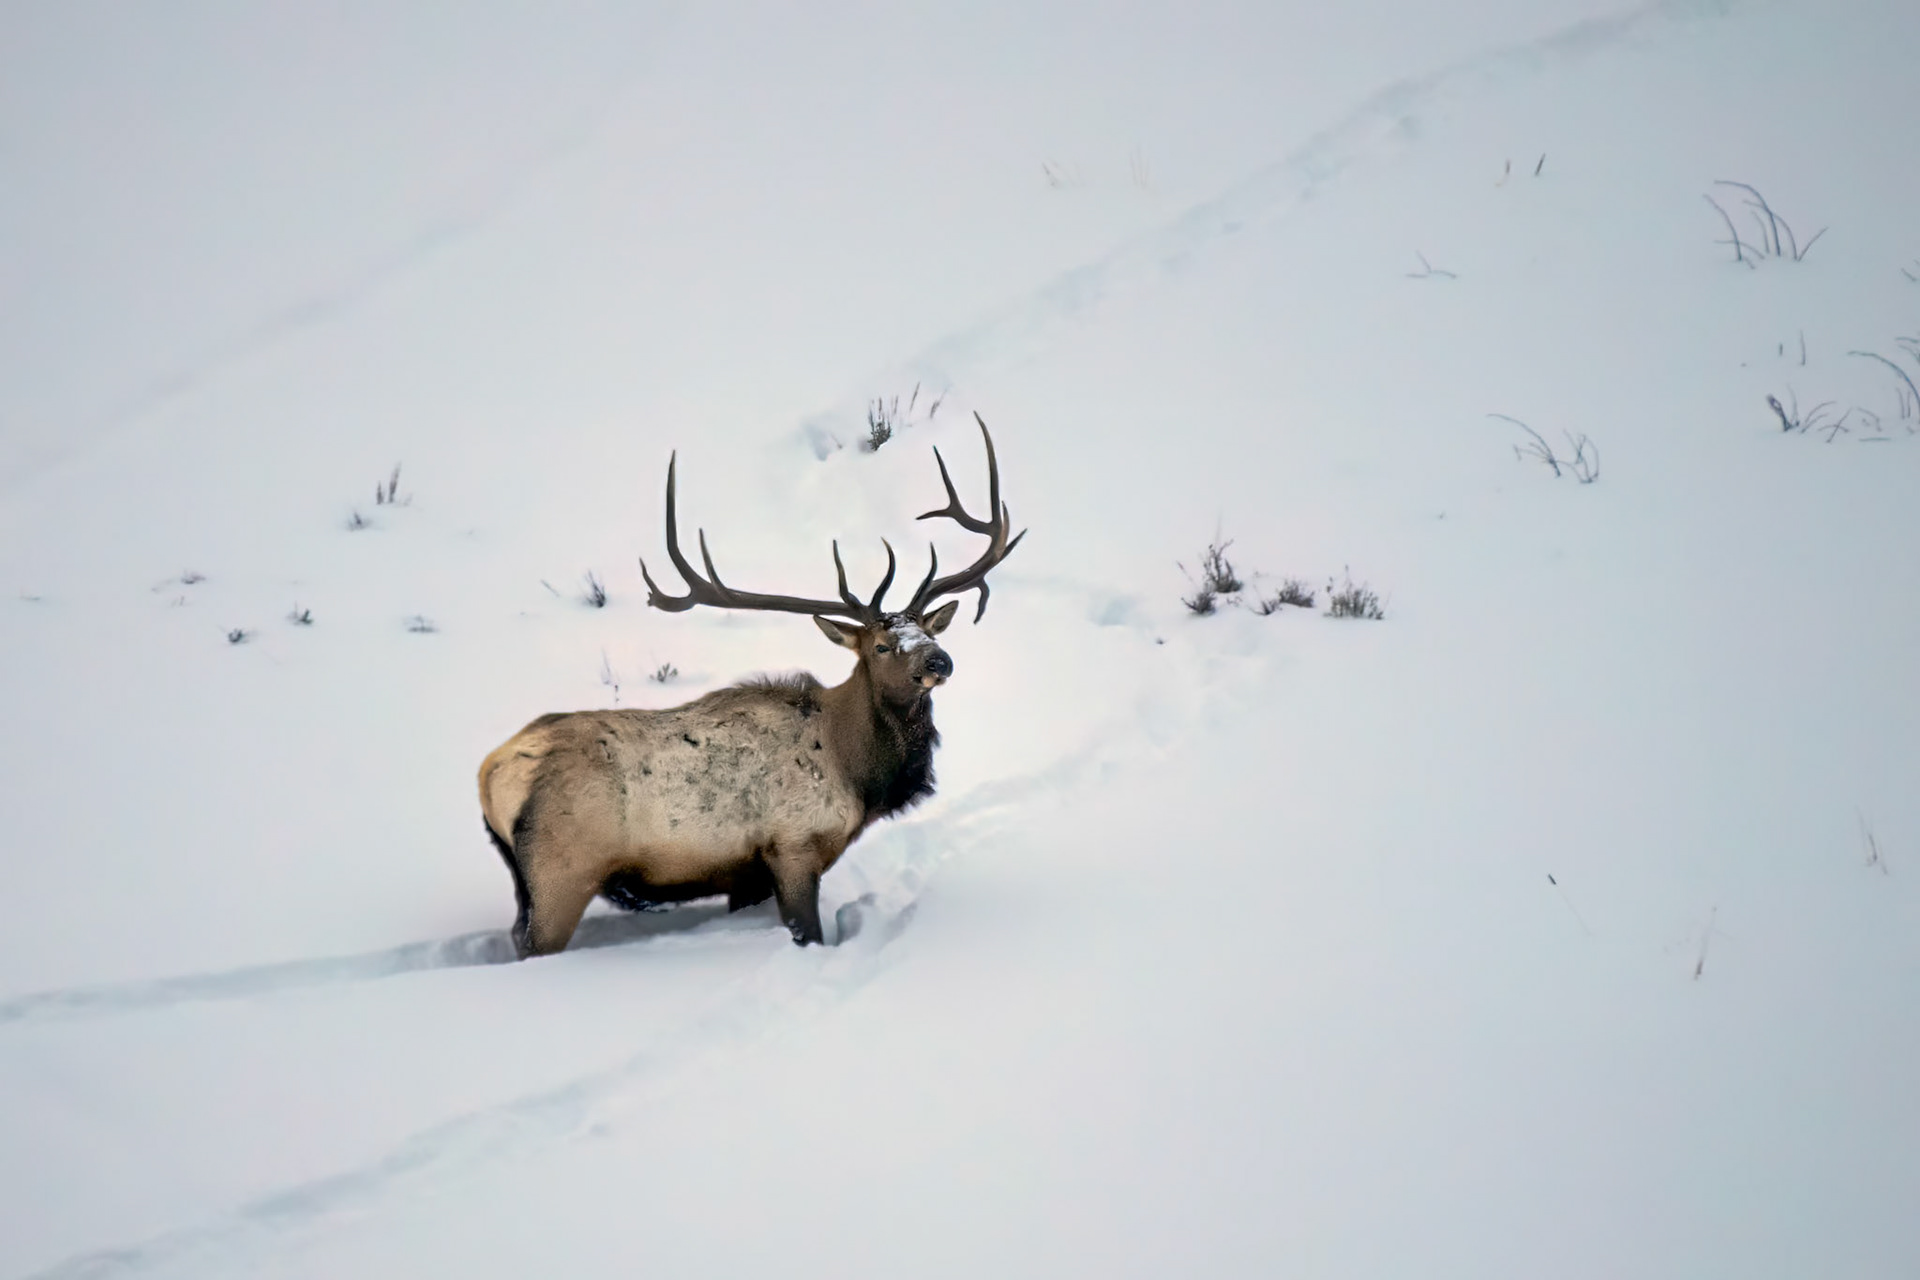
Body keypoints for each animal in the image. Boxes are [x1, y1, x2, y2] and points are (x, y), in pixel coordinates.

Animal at [478, 415, 1023, 958]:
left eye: (931, 632)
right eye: (881, 647)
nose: (940, 661)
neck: (858, 771)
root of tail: (490, 771)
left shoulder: (746, 876)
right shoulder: (793, 847)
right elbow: (809, 933)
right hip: (561, 873)